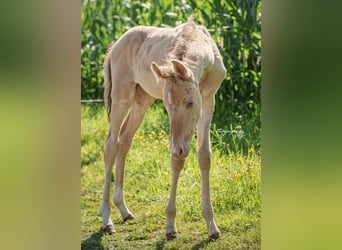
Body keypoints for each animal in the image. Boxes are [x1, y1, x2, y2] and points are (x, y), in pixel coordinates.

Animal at [99, 18, 227, 240]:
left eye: (190, 102)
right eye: (167, 105)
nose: (178, 148)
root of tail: (115, 45)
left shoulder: (208, 100)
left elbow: (203, 156)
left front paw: (212, 226)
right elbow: (177, 161)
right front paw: (170, 225)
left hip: (143, 99)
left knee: (125, 139)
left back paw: (124, 210)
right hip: (121, 97)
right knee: (111, 145)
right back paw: (107, 219)